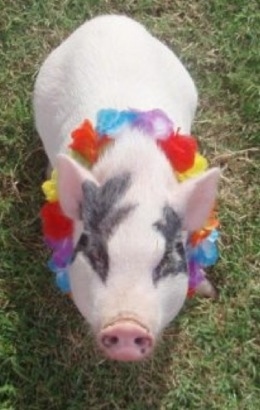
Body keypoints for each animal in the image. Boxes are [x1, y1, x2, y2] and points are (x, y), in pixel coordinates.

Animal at [33, 15, 220, 362]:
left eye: (167, 258)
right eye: (96, 253)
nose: (127, 326)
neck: (137, 173)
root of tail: (111, 18)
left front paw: (208, 292)